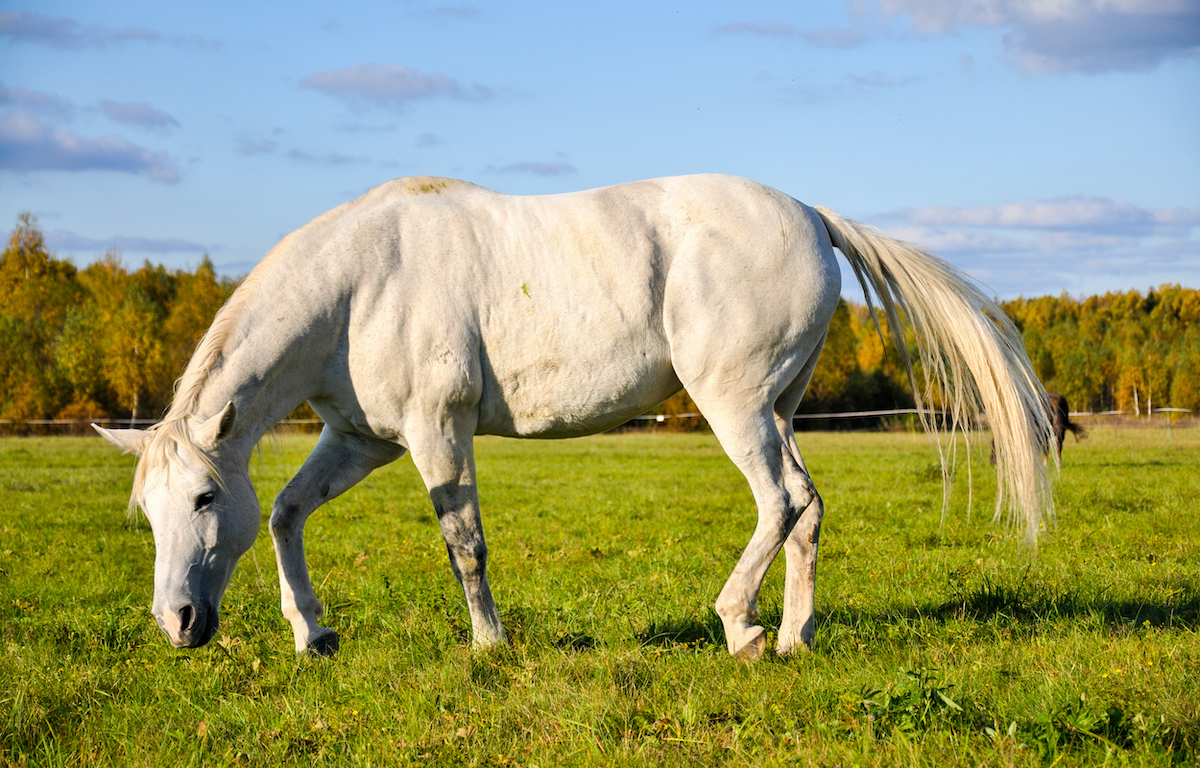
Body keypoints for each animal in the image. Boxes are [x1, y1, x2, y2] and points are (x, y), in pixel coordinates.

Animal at [96, 174, 1051, 662]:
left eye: (204, 501)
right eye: (148, 513)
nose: (177, 626)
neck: (360, 284)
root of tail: (812, 216)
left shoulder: (437, 433)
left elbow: (464, 544)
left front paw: (489, 646)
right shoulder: (359, 440)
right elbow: (287, 513)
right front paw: (313, 634)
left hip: (736, 406)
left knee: (777, 503)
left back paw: (738, 626)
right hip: (780, 408)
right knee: (807, 508)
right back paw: (791, 638)